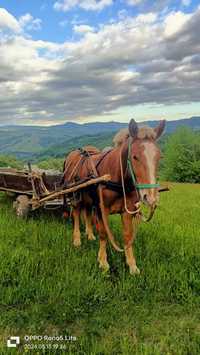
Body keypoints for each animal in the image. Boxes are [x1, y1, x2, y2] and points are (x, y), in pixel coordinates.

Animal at [63, 119, 165, 276]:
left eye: (159, 157)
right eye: (135, 156)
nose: (150, 198)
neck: (116, 177)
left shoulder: (127, 211)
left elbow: (128, 236)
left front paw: (132, 265)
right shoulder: (102, 209)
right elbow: (104, 233)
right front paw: (103, 262)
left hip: (88, 198)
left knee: (87, 212)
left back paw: (90, 235)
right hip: (75, 195)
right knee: (76, 214)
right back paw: (77, 240)